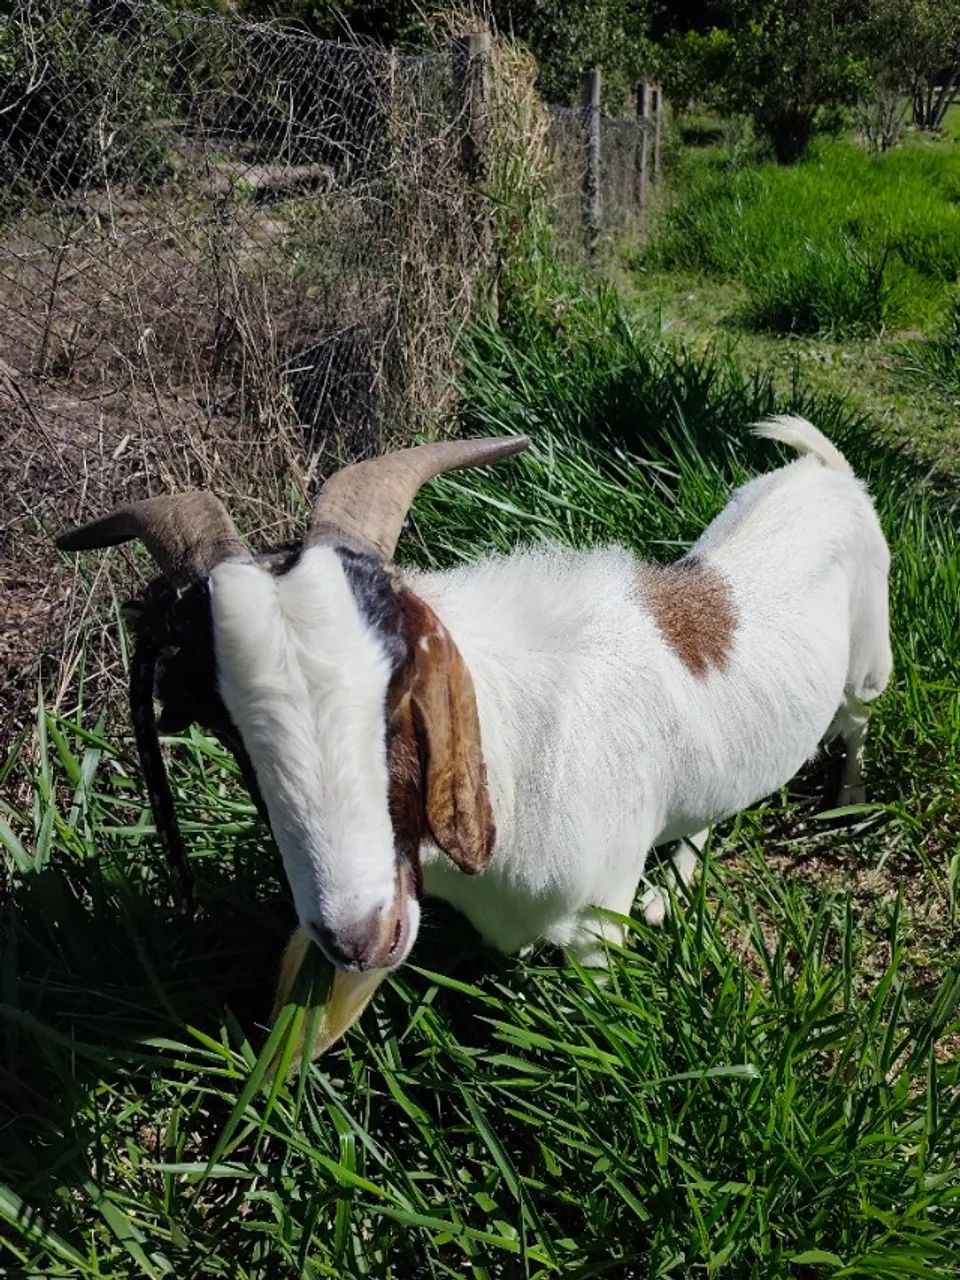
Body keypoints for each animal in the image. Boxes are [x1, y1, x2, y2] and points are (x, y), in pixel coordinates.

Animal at [56, 417, 892, 1049]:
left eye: (400, 690)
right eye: (227, 730)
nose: (360, 938)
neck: (513, 761)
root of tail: (824, 468)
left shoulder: (596, 925)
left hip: (870, 660)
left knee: (857, 720)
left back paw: (846, 802)